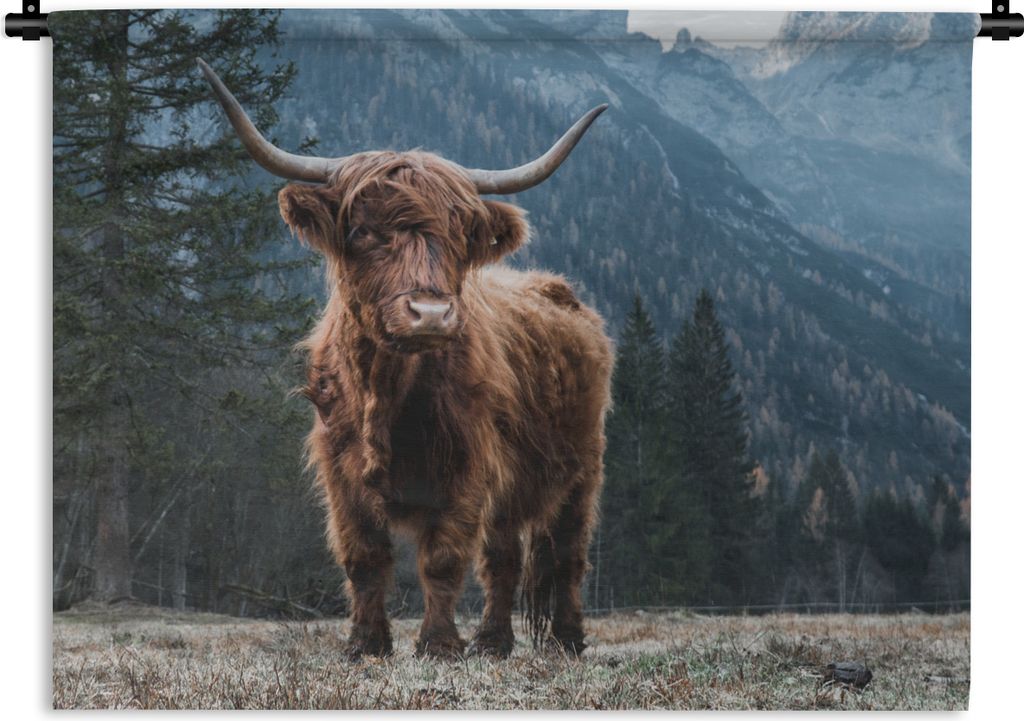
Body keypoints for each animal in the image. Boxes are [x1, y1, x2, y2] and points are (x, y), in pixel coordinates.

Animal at [199, 59, 613, 659]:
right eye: (362, 230)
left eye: (460, 235)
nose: (431, 314)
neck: (388, 391)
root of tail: (559, 291)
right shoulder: (340, 471)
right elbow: (364, 557)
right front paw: (365, 644)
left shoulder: (468, 465)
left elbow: (442, 559)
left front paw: (438, 645)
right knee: (505, 558)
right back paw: (493, 642)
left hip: (582, 467)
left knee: (567, 554)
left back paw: (566, 639)